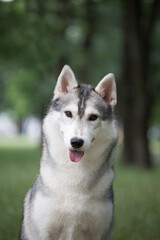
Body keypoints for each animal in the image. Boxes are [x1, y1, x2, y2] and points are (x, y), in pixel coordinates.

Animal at [19, 65, 117, 240]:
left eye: (93, 117)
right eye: (68, 113)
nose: (76, 142)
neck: (75, 176)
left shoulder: (99, 231)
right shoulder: (42, 231)